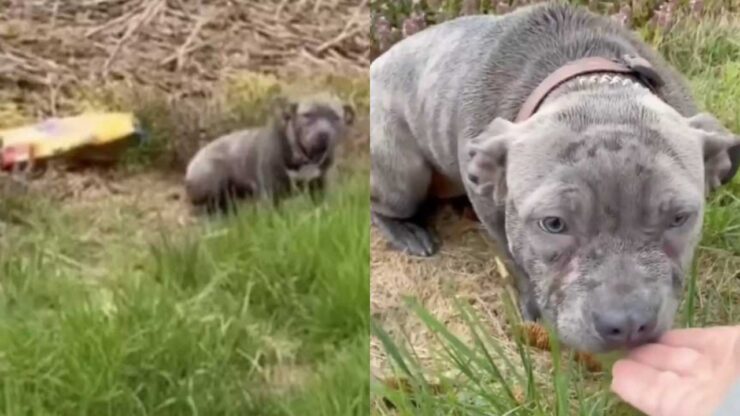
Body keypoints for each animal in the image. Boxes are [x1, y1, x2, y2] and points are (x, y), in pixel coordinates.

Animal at [184, 93, 354, 213]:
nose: (323, 133)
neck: (306, 156)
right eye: (308, 115)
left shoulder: (319, 187)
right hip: (212, 176)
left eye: (335, 117)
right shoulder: (272, 194)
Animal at [372, 2, 740, 354]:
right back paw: (407, 232)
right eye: (553, 224)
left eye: (679, 218)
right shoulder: (496, 217)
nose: (627, 324)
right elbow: (515, 258)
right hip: (404, 170)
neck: (590, 83)